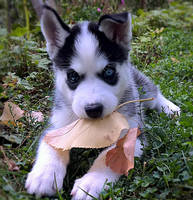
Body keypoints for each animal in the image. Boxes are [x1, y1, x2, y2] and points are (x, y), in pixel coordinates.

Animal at [24, 5, 180, 199]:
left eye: (109, 72)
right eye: (72, 76)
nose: (93, 109)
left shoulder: (133, 132)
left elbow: (109, 156)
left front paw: (91, 182)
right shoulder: (58, 123)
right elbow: (51, 145)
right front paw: (44, 175)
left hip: (141, 89)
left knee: (154, 93)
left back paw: (170, 108)